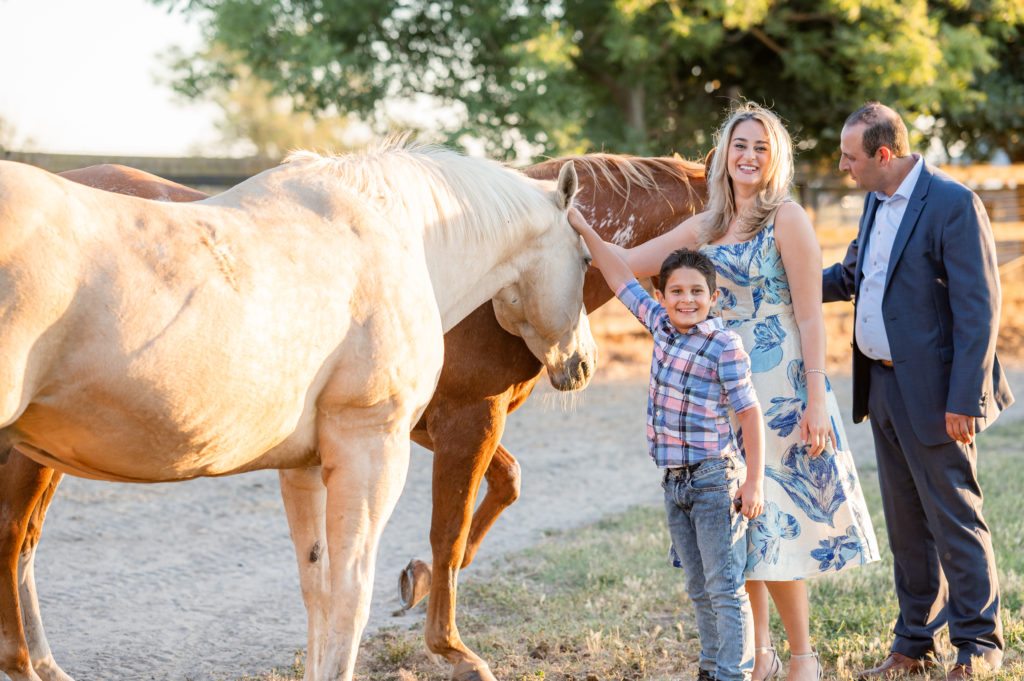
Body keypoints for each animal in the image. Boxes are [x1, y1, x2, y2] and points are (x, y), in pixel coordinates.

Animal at [2, 155, 704, 679]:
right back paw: (29, 661)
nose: (581, 363)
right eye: (585, 259)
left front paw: (417, 586)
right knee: (16, 538)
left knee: (23, 541)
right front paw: (451, 644)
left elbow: (337, 580)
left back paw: (44, 664)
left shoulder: (329, 455)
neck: (420, 247)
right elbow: (412, 554)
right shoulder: (430, 431)